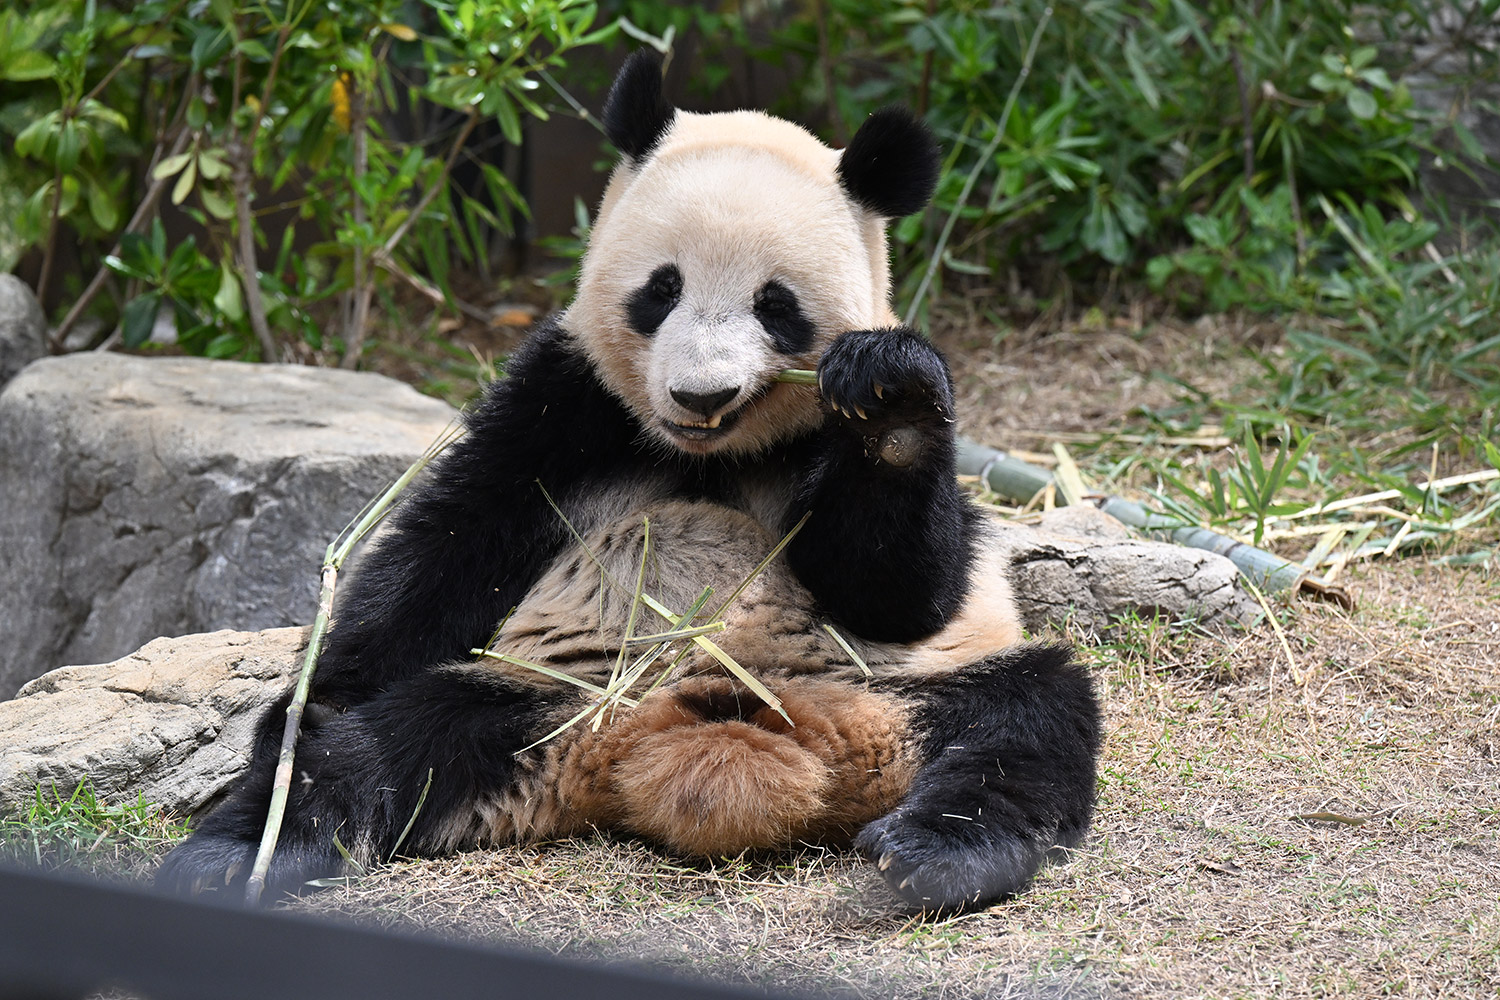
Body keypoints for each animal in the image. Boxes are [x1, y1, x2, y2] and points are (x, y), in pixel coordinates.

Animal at [158, 54, 1104, 917]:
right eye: (662, 288)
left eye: (776, 305)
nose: (701, 395)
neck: (710, 452)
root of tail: (677, 735)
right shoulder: (566, 401)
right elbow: (450, 546)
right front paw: (305, 703)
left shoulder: (828, 446)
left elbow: (898, 590)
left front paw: (895, 401)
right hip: (539, 699)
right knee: (376, 750)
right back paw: (240, 854)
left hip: (895, 690)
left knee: (1026, 718)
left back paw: (943, 854)